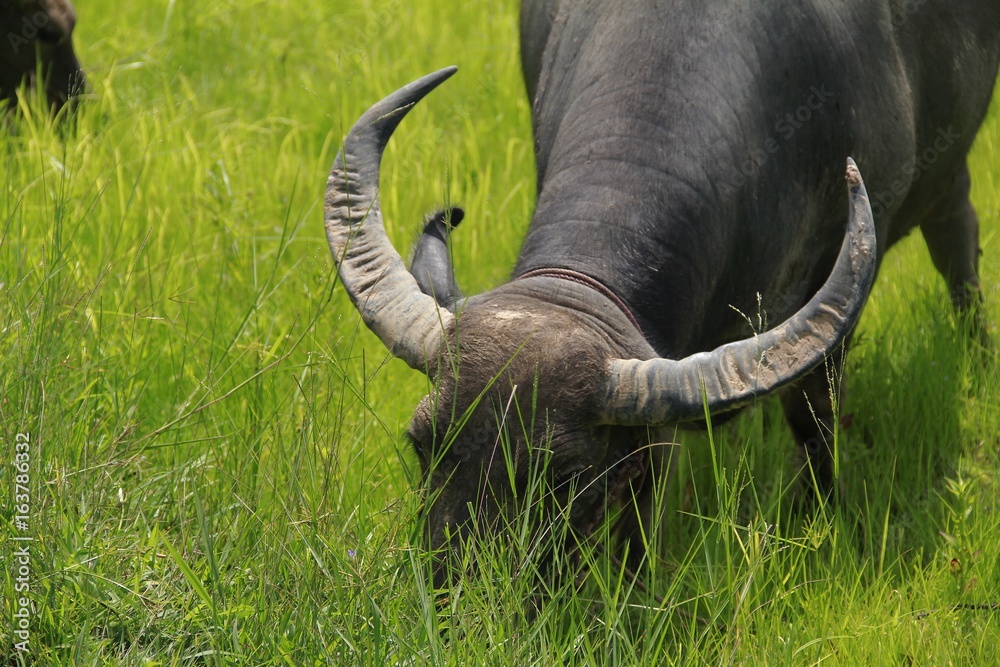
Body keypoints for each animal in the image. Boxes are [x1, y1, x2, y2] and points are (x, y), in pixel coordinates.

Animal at [324, 1, 1000, 583]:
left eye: (565, 476)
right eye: (422, 442)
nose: (455, 601)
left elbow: (814, 423)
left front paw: (815, 520)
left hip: (951, 173)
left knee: (958, 248)